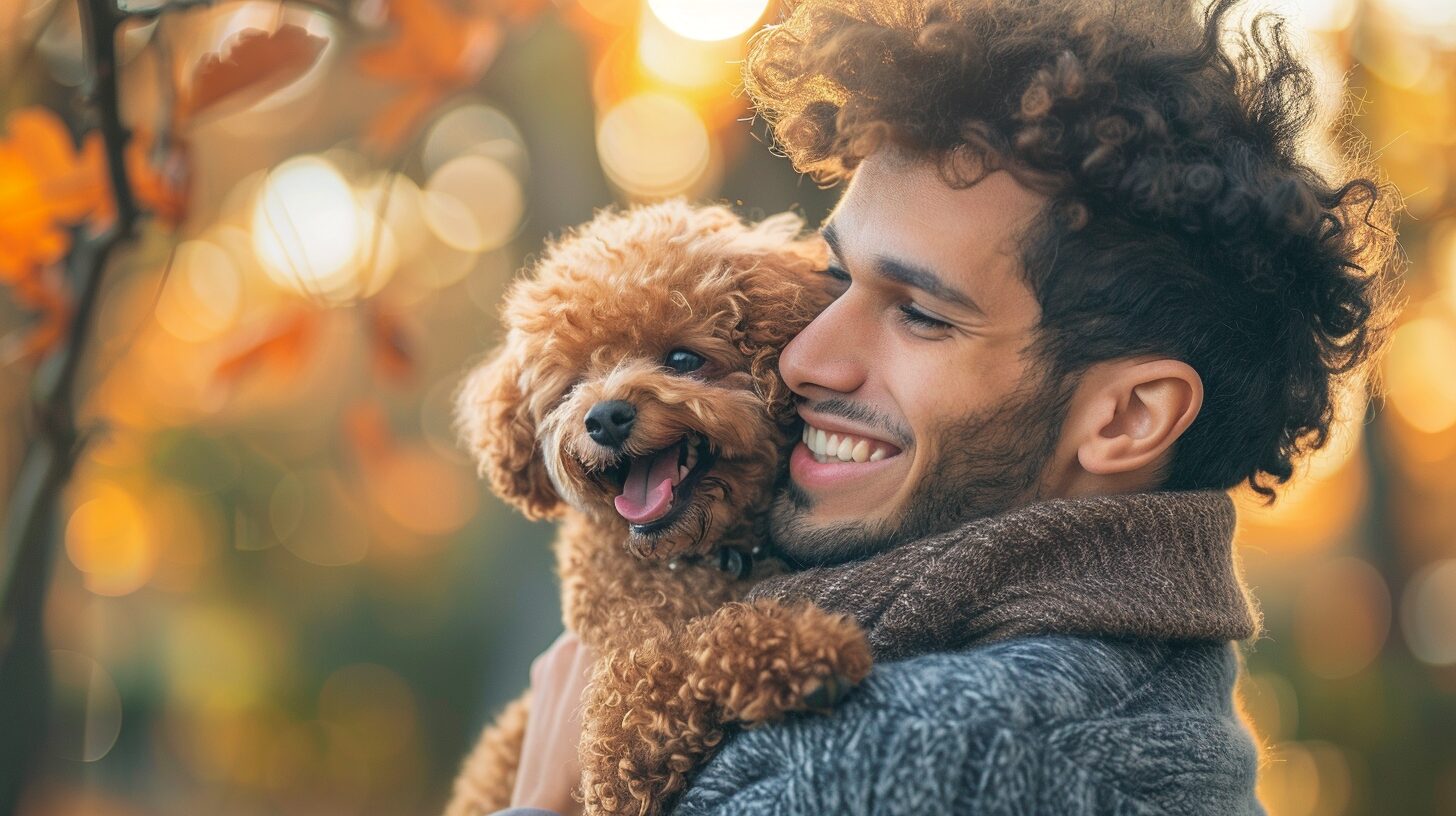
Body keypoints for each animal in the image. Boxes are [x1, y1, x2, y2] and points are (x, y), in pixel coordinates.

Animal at [442, 199, 873, 816]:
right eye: (572, 384)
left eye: (683, 358)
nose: (604, 417)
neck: (695, 558)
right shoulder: (616, 730)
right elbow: (677, 654)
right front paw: (809, 650)